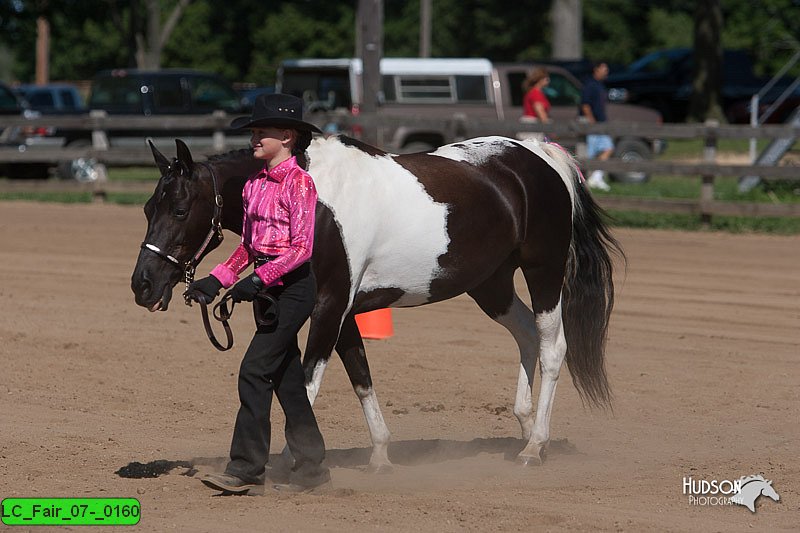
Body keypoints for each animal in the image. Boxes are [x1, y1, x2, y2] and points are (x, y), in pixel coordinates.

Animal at [130, 134, 620, 470]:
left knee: (552, 346)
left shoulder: (329, 307)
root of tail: (537, 154)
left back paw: (535, 446)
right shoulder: (344, 312)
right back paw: (525, 426)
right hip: (490, 284)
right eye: (147, 209)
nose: (143, 285)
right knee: (526, 334)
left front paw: (292, 460)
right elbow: (360, 376)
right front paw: (381, 456)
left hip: (543, 272)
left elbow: (309, 381)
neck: (314, 199)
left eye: (179, 210)